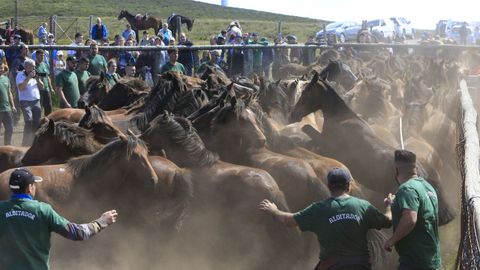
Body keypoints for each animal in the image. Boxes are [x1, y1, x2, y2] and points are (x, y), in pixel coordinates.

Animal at [290, 71, 456, 226]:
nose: (292, 114)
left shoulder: (328, 146)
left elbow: (308, 129)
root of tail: (423, 175)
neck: (342, 118)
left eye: (306, 92)